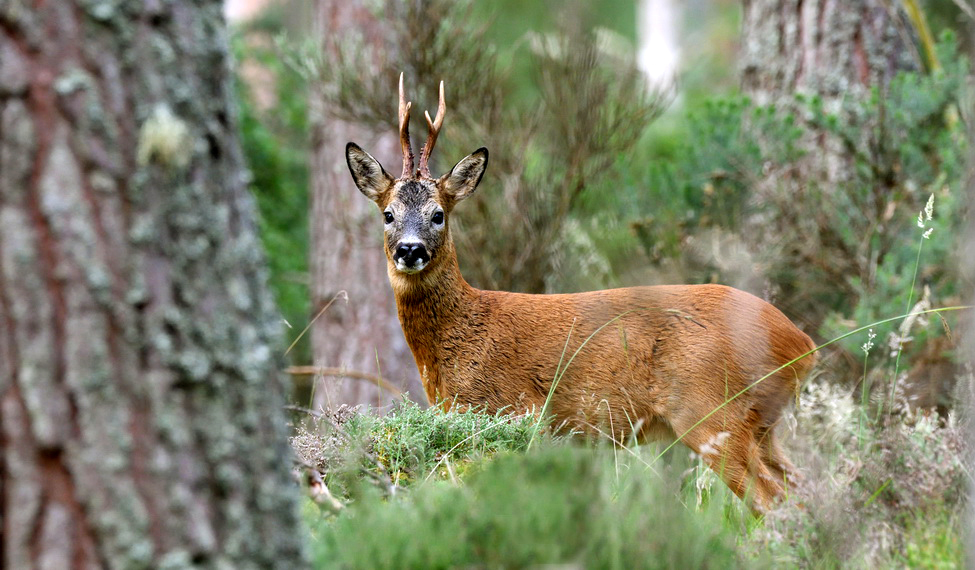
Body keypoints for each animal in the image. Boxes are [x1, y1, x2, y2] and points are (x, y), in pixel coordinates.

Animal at [344, 75, 817, 513]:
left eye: (438, 214)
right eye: (388, 214)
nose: (410, 250)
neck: (457, 339)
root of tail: (802, 343)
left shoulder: (511, 412)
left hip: (712, 411)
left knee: (772, 502)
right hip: (760, 425)